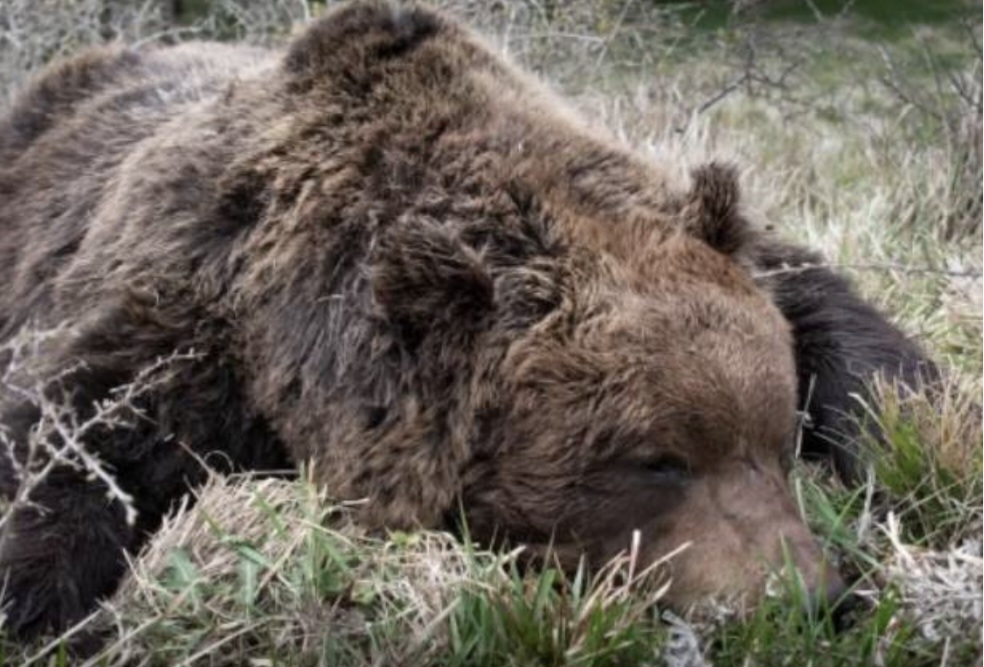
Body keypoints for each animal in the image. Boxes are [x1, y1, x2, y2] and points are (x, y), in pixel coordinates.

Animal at [0, 0, 934, 638]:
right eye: (657, 460)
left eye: (777, 435)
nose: (808, 597)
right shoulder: (186, 308)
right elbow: (73, 438)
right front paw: (39, 604)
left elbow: (843, 326)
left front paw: (913, 432)